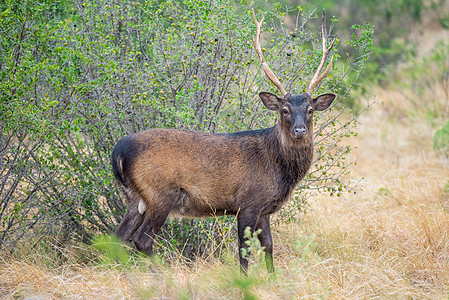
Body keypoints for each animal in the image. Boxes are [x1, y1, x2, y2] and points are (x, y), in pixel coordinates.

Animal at [111, 8, 336, 272]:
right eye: (285, 110)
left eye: (310, 110)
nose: (300, 130)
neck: (276, 166)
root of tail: (118, 150)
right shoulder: (248, 202)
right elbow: (244, 249)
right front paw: (244, 277)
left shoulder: (265, 209)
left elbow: (269, 245)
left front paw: (273, 276)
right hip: (159, 193)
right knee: (142, 240)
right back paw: (161, 274)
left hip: (135, 197)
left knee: (117, 237)